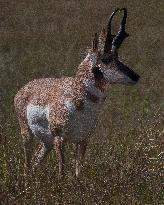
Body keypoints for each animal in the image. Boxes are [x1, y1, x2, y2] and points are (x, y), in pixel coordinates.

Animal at [14, 8, 140, 177]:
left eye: (118, 56)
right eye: (106, 58)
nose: (136, 76)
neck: (78, 99)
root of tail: (24, 89)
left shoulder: (83, 140)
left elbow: (78, 172)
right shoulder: (59, 139)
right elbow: (61, 172)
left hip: (46, 143)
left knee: (35, 161)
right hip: (28, 135)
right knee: (27, 165)